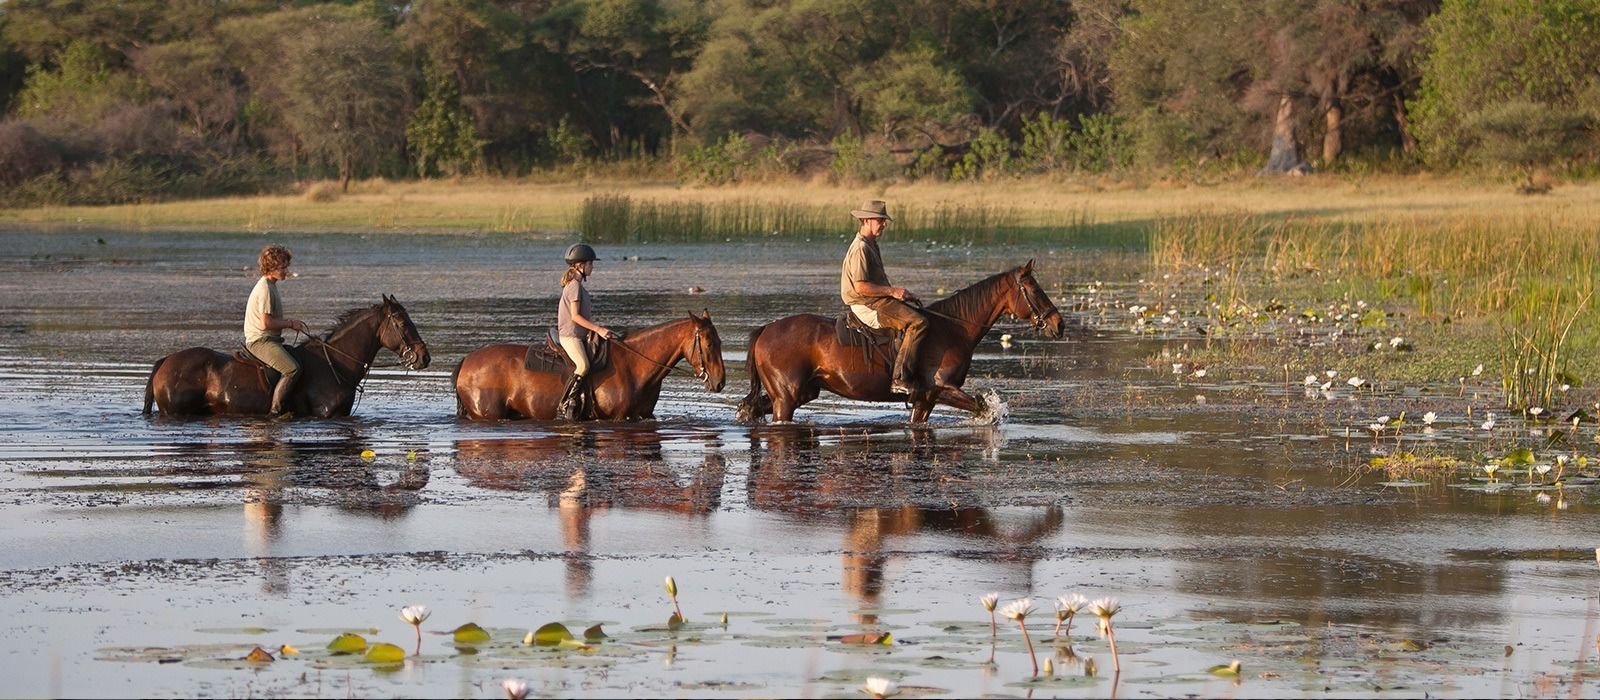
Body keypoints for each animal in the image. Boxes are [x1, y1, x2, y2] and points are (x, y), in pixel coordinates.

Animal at [736, 262, 1062, 425]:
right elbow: (983, 407)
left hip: (802, 392)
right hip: (787, 397)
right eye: (1034, 290)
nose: (1059, 324)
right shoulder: (941, 389)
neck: (954, 329)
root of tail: (765, 330)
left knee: (751, 408)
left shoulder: (925, 399)